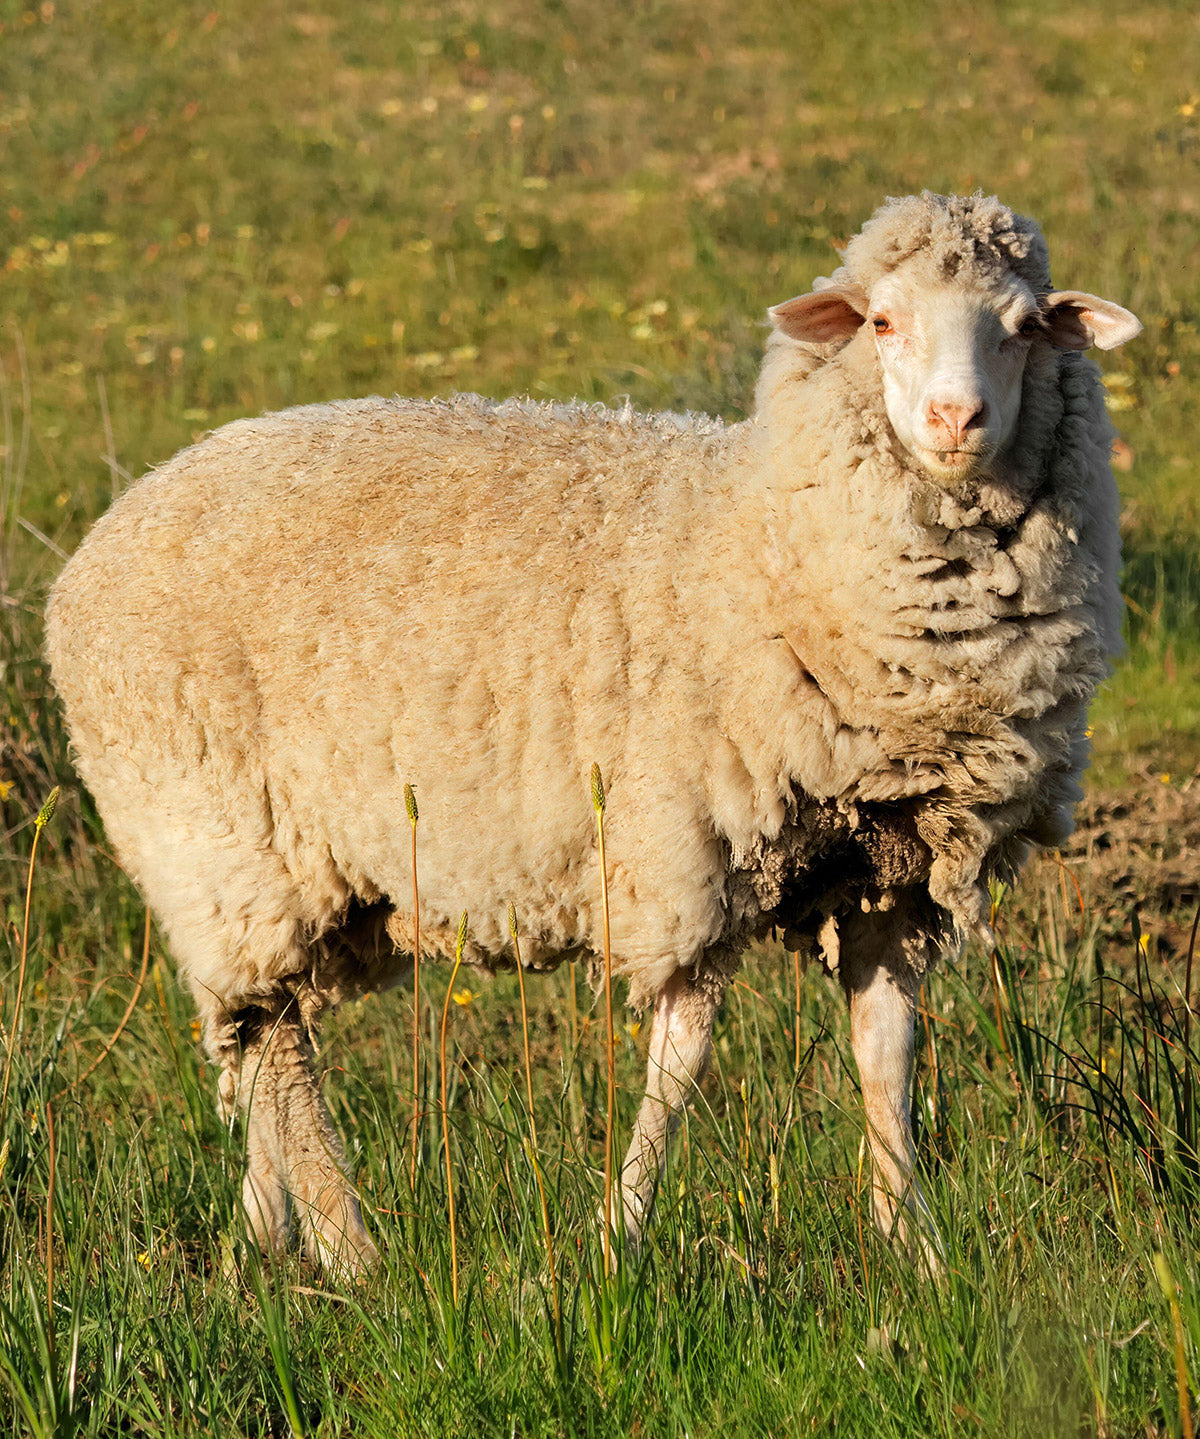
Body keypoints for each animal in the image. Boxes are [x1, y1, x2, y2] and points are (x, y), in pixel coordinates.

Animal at [46, 191, 1141, 1274]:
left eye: (1024, 327)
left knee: (267, 1042)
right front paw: (621, 1232)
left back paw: (269, 1234)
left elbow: (888, 1050)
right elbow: (683, 1058)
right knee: (277, 1051)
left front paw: (912, 1243)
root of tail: (106, 534)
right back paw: (351, 1251)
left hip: (314, 880)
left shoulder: (890, 867)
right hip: (222, 846)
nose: (956, 418)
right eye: (880, 321)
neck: (766, 544)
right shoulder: (686, 852)